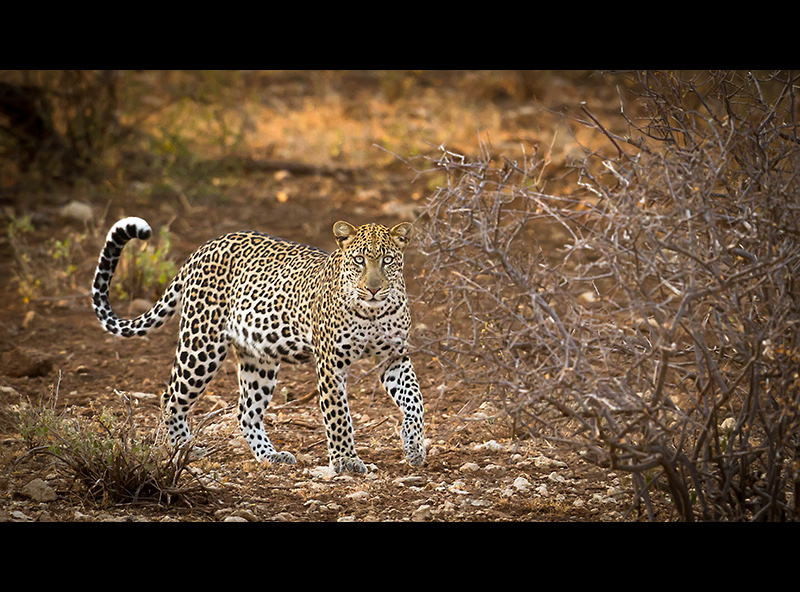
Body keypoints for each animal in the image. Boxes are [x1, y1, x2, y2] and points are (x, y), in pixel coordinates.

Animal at [91, 215, 428, 474]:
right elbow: (339, 416)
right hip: (201, 345)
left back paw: (270, 455)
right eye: (359, 260)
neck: (374, 311)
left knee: (246, 411)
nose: (373, 289)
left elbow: (415, 401)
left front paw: (413, 446)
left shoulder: (395, 358)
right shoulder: (331, 363)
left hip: (258, 358)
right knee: (171, 397)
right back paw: (184, 449)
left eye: (388, 260)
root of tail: (203, 247)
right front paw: (346, 461)